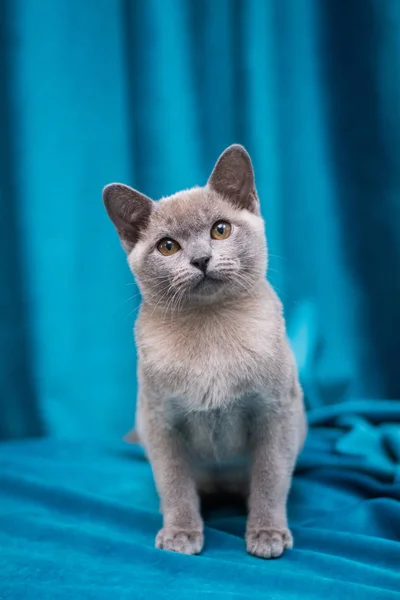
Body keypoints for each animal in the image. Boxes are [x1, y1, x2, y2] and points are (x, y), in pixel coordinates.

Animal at [102, 144, 306, 556]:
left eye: (220, 229)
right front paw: (181, 534)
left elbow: (270, 478)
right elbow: (175, 485)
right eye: (168, 247)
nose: (200, 259)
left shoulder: (275, 415)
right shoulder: (161, 424)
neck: (210, 332)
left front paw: (267, 534)